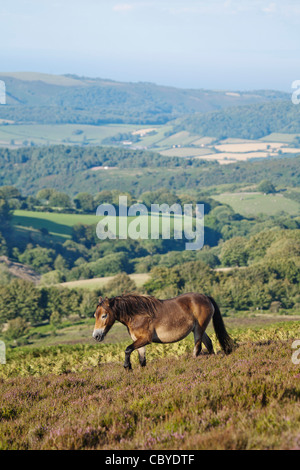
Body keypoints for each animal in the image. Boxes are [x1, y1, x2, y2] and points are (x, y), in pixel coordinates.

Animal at [92, 292, 233, 370]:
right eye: (95, 315)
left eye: (104, 315)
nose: (96, 336)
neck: (137, 315)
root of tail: (206, 298)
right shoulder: (139, 342)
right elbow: (142, 361)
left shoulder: (145, 339)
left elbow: (127, 349)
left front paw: (127, 367)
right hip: (198, 329)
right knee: (209, 344)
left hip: (199, 329)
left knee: (197, 348)